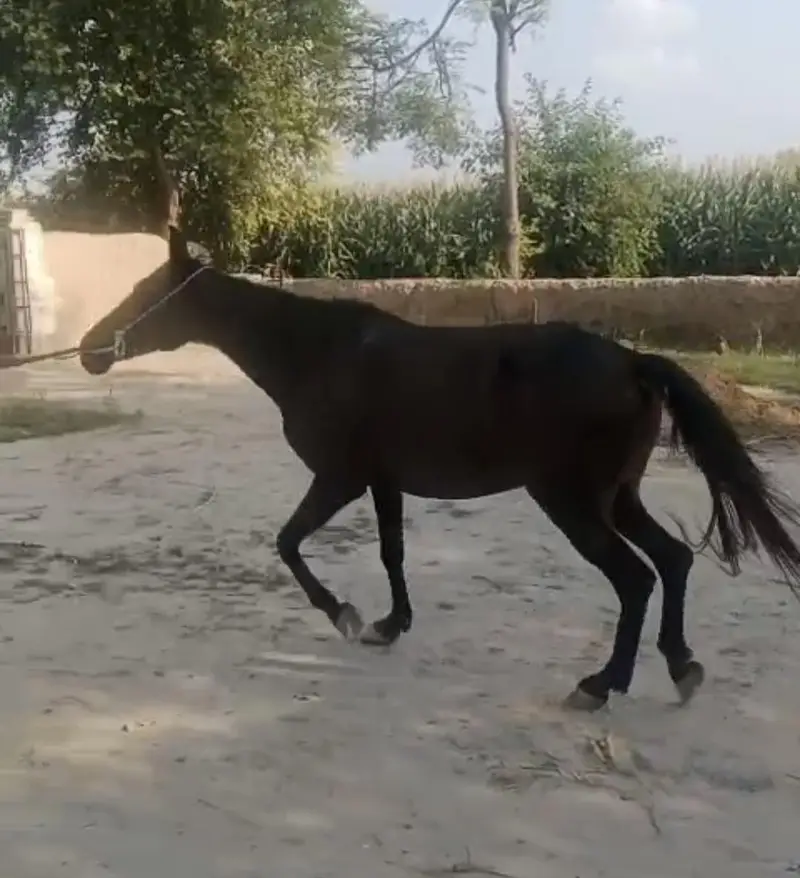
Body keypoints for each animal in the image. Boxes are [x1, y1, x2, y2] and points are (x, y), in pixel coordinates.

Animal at [78, 224, 800, 711]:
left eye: (145, 293)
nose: (88, 351)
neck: (317, 352)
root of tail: (633, 363)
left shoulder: (339, 478)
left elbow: (287, 543)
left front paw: (344, 614)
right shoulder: (383, 481)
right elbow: (391, 552)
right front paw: (389, 625)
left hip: (572, 501)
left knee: (636, 579)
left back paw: (601, 685)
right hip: (618, 496)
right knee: (672, 561)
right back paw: (681, 668)